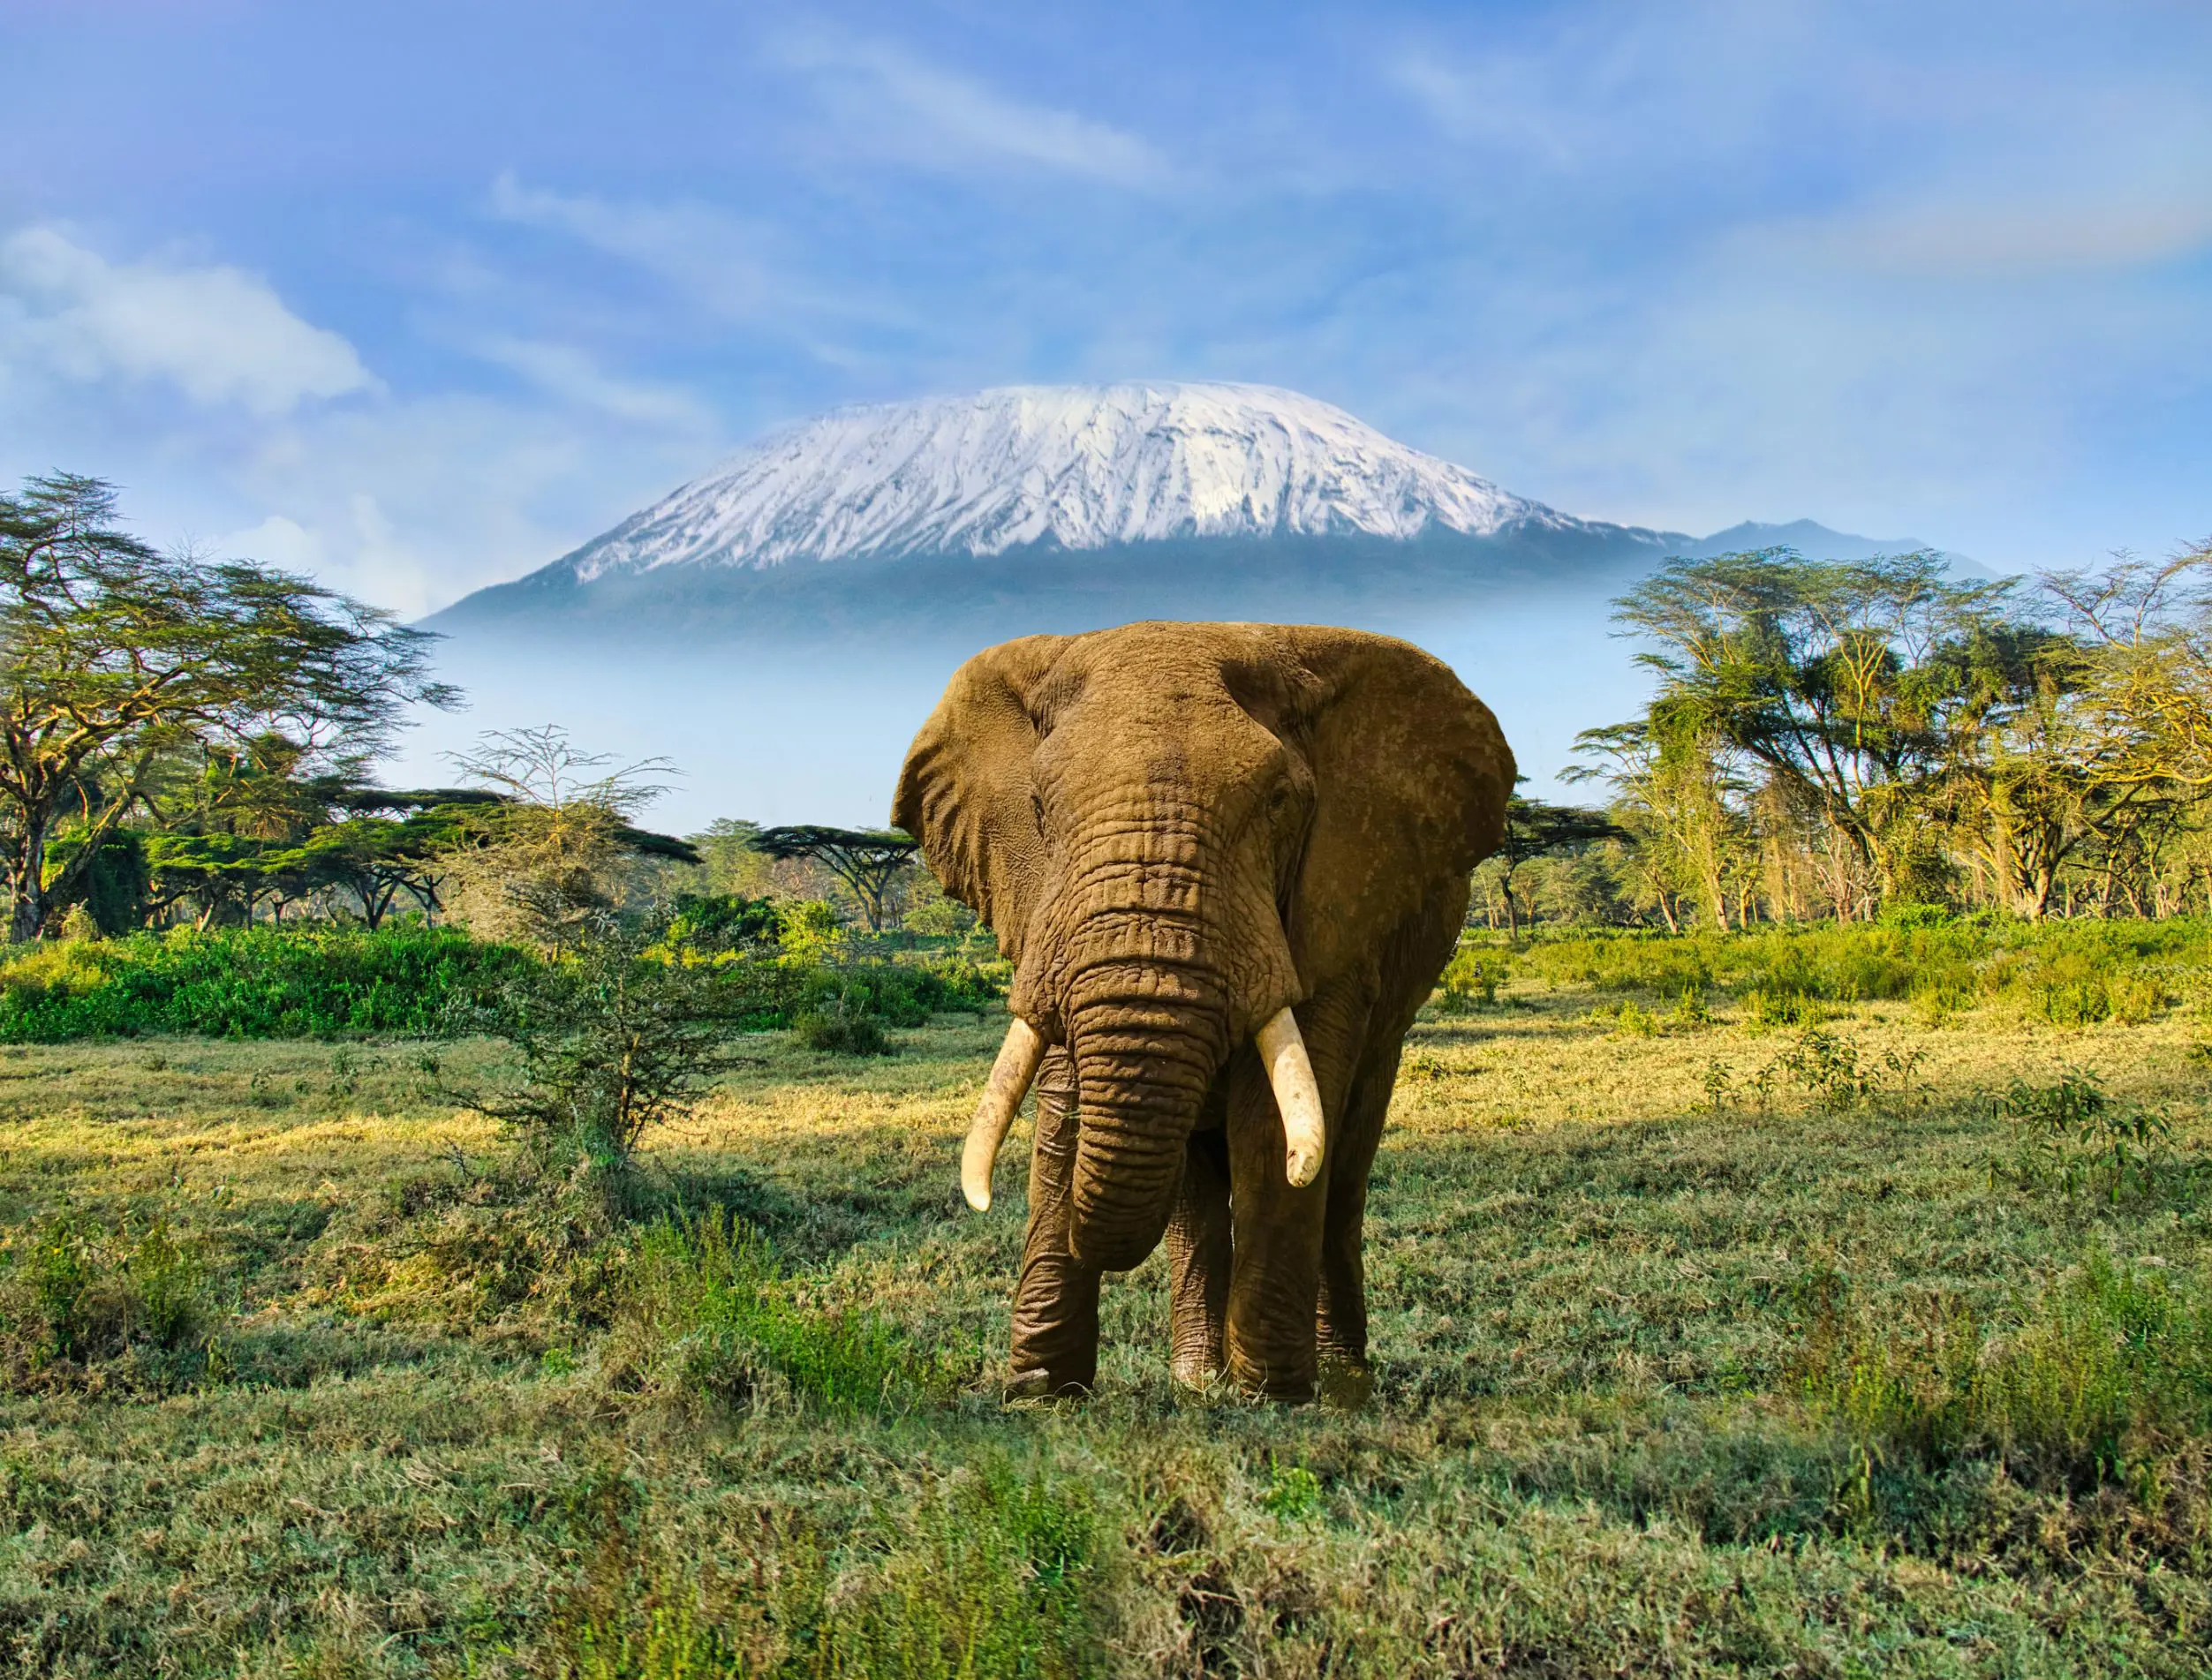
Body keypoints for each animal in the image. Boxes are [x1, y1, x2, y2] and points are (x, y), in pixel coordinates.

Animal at [893, 621, 1514, 1400]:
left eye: (1278, 802)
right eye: (1036, 807)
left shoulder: (1334, 904)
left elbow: (1273, 1125)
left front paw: (1272, 1398)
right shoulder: (1043, 916)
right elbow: (1063, 1100)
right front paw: (1039, 1394)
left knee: (1345, 1165)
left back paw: (1340, 1380)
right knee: (1195, 1194)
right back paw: (1194, 1378)